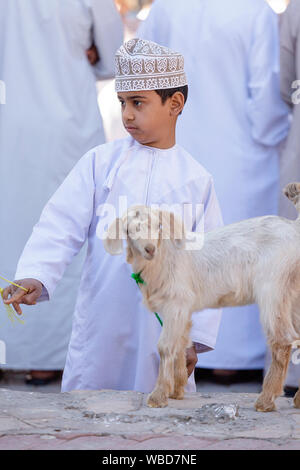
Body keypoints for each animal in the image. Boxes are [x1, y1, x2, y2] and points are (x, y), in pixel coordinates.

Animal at [103, 184, 300, 412]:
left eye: (158, 226)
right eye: (130, 229)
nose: (149, 249)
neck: (164, 258)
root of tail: (295, 228)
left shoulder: (176, 303)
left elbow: (165, 346)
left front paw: (158, 396)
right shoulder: (182, 309)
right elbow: (181, 343)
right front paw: (177, 390)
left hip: (273, 289)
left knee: (282, 339)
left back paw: (266, 400)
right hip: (293, 295)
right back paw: (297, 400)